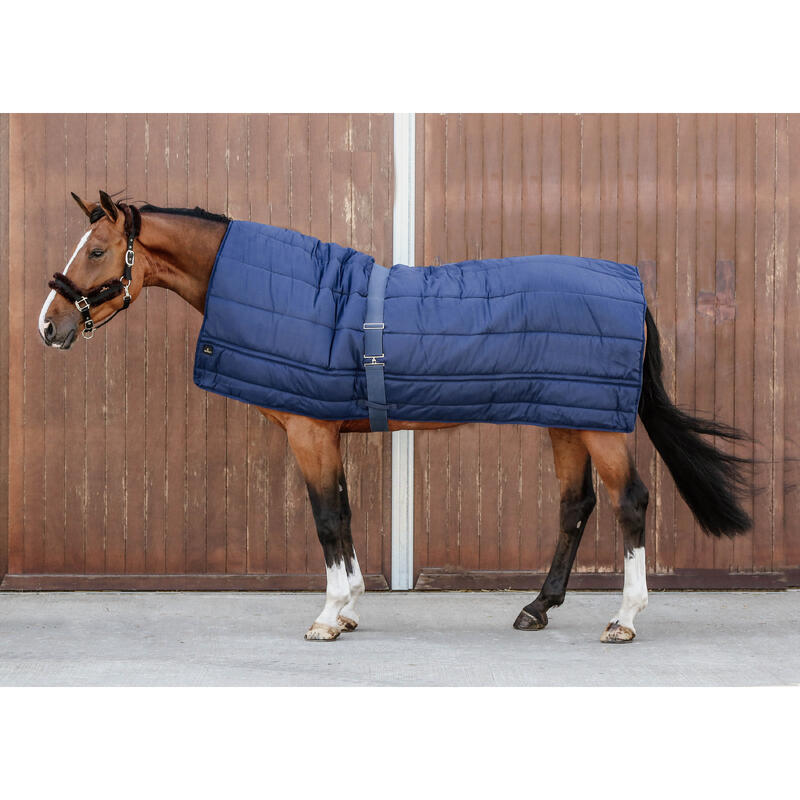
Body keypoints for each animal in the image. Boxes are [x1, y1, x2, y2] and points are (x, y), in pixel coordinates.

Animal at [38, 191, 753, 643]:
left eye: (96, 251)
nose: (50, 325)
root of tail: (627, 283)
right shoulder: (327, 431)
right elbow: (346, 514)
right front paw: (351, 606)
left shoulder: (310, 432)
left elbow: (328, 518)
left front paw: (328, 617)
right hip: (566, 417)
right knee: (575, 506)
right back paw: (537, 608)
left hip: (600, 426)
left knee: (630, 503)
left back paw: (625, 619)